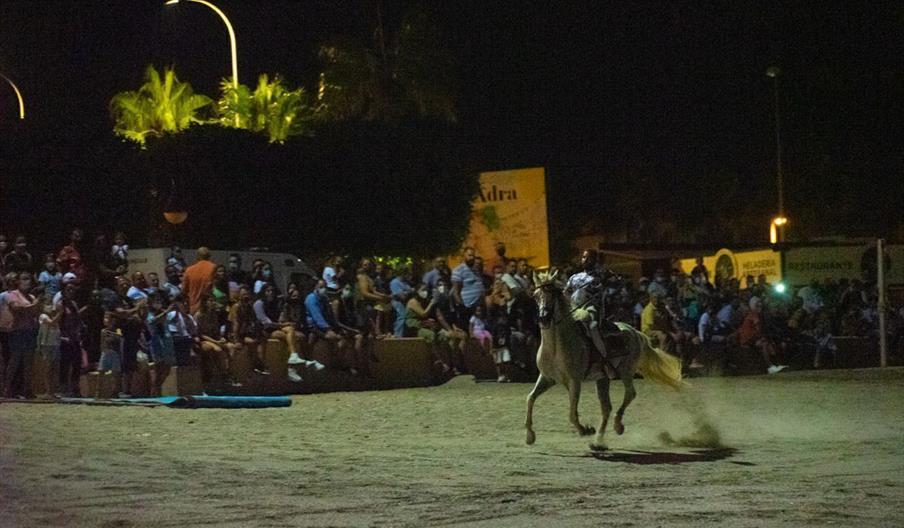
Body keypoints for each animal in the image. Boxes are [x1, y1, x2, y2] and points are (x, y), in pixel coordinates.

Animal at [524, 269, 685, 450]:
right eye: (536, 296)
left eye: (551, 294)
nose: (543, 318)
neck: (556, 348)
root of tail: (636, 332)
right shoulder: (547, 378)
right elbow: (530, 398)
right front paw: (530, 436)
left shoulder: (575, 381)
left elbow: (572, 413)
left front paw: (585, 430)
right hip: (603, 379)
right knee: (606, 408)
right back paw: (598, 442)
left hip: (626, 371)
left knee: (629, 394)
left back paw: (617, 426)